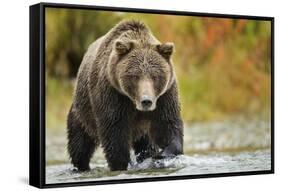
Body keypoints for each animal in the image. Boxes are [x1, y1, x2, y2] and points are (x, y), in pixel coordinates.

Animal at [66, 20, 183, 171]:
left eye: (155, 76)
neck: (133, 102)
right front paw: (121, 164)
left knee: (145, 143)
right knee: (79, 144)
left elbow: (167, 124)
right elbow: (114, 132)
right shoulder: (112, 95)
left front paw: (162, 154)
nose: (146, 101)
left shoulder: (165, 96)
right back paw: (81, 167)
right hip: (82, 112)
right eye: (135, 76)